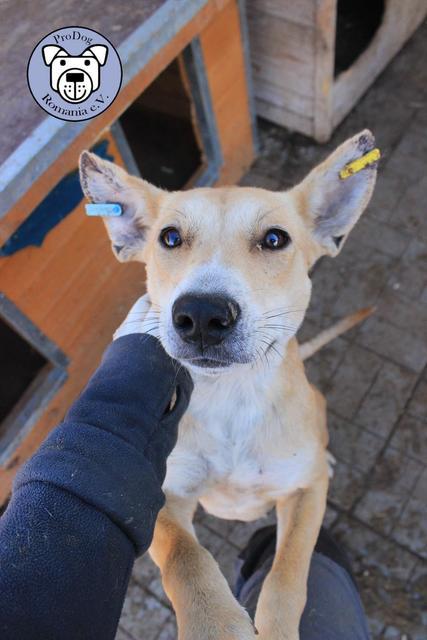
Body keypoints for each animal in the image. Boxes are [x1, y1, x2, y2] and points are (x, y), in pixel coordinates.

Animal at [79, 131, 378, 640]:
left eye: (275, 238)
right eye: (170, 237)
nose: (201, 314)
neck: (232, 397)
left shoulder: (305, 494)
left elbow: (288, 573)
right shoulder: (162, 499)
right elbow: (185, 558)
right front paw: (214, 622)